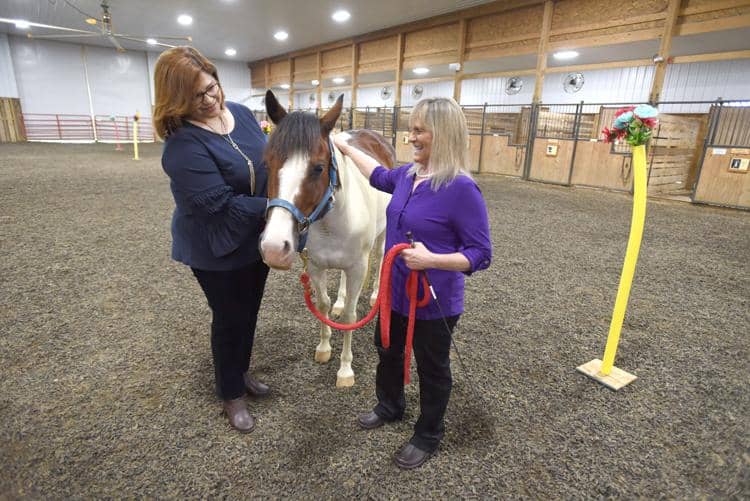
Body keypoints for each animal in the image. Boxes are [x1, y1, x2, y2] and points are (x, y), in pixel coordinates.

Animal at [260, 90, 396, 386]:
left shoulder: (358, 267)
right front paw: (324, 348)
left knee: (381, 257)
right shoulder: (315, 266)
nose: (274, 248)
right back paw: (340, 300)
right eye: (267, 163)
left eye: (319, 168)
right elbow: (321, 304)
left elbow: (351, 316)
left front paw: (345, 370)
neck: (328, 224)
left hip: (382, 235)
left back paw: (375, 295)